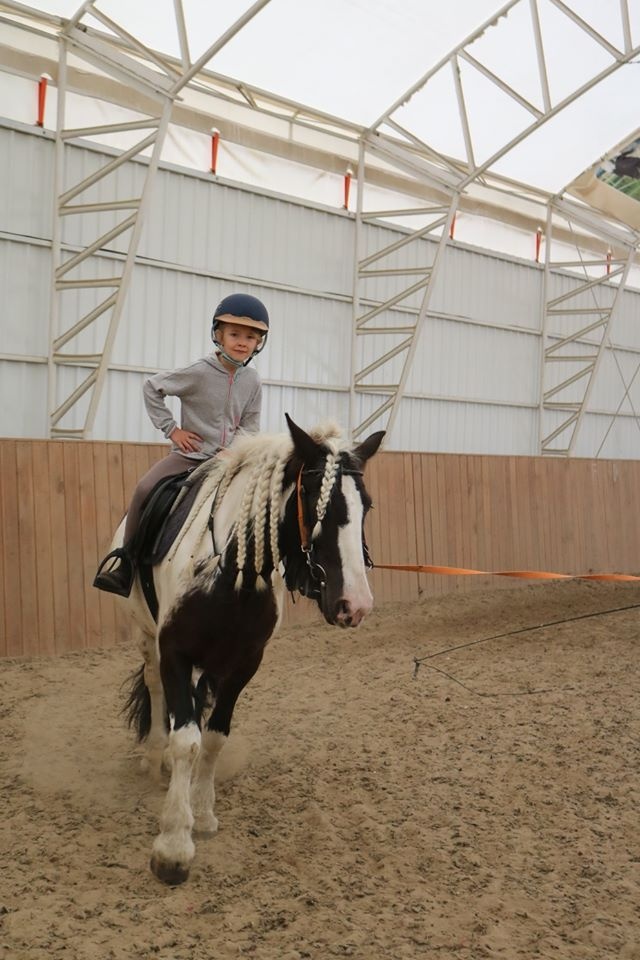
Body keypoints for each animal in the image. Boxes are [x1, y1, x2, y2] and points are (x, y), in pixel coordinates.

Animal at [117, 414, 384, 884]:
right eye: (316, 501)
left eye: (364, 506)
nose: (356, 605)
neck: (231, 574)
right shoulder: (174, 653)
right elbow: (186, 740)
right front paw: (173, 847)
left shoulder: (243, 665)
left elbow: (213, 737)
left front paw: (202, 813)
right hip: (146, 639)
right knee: (154, 689)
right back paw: (154, 758)